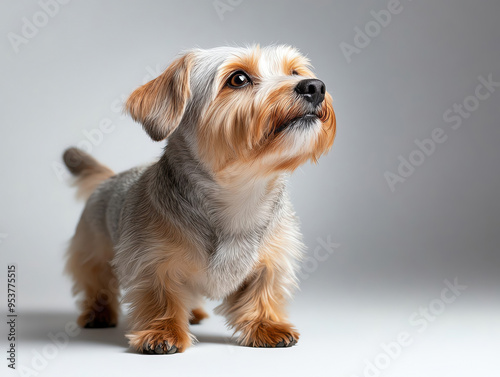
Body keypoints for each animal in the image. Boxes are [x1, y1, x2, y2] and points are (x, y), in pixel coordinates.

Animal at [62, 44, 336, 352]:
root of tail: (110, 177)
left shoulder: (272, 258)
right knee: (96, 282)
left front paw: (265, 324)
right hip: (92, 251)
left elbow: (262, 290)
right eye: (238, 79)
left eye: (295, 72)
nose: (314, 86)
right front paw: (163, 331)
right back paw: (98, 313)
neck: (240, 195)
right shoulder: (150, 259)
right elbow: (160, 295)